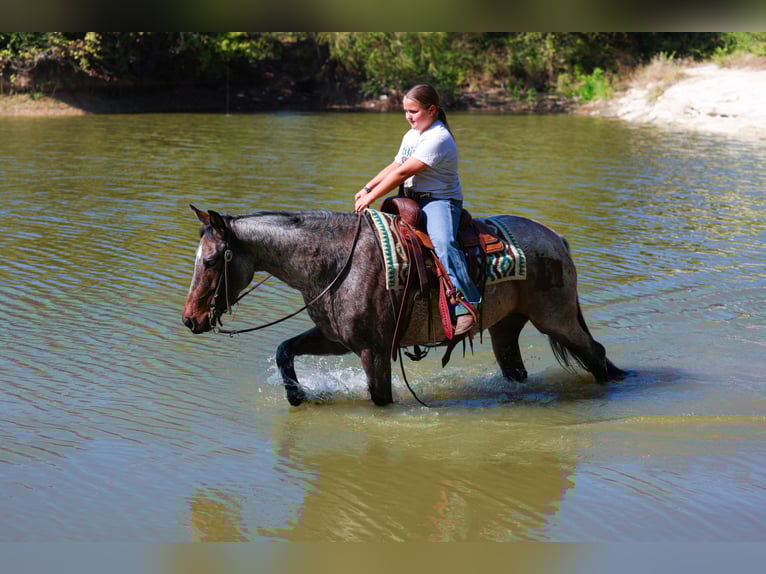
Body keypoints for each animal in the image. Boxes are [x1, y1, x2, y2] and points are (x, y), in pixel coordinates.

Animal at [182, 205, 625, 406]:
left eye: (211, 261)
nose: (190, 319)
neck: (334, 262)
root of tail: (556, 238)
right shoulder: (335, 338)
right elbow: (284, 349)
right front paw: (297, 395)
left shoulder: (372, 350)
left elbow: (381, 399)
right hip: (506, 328)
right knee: (517, 370)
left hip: (556, 319)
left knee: (596, 353)